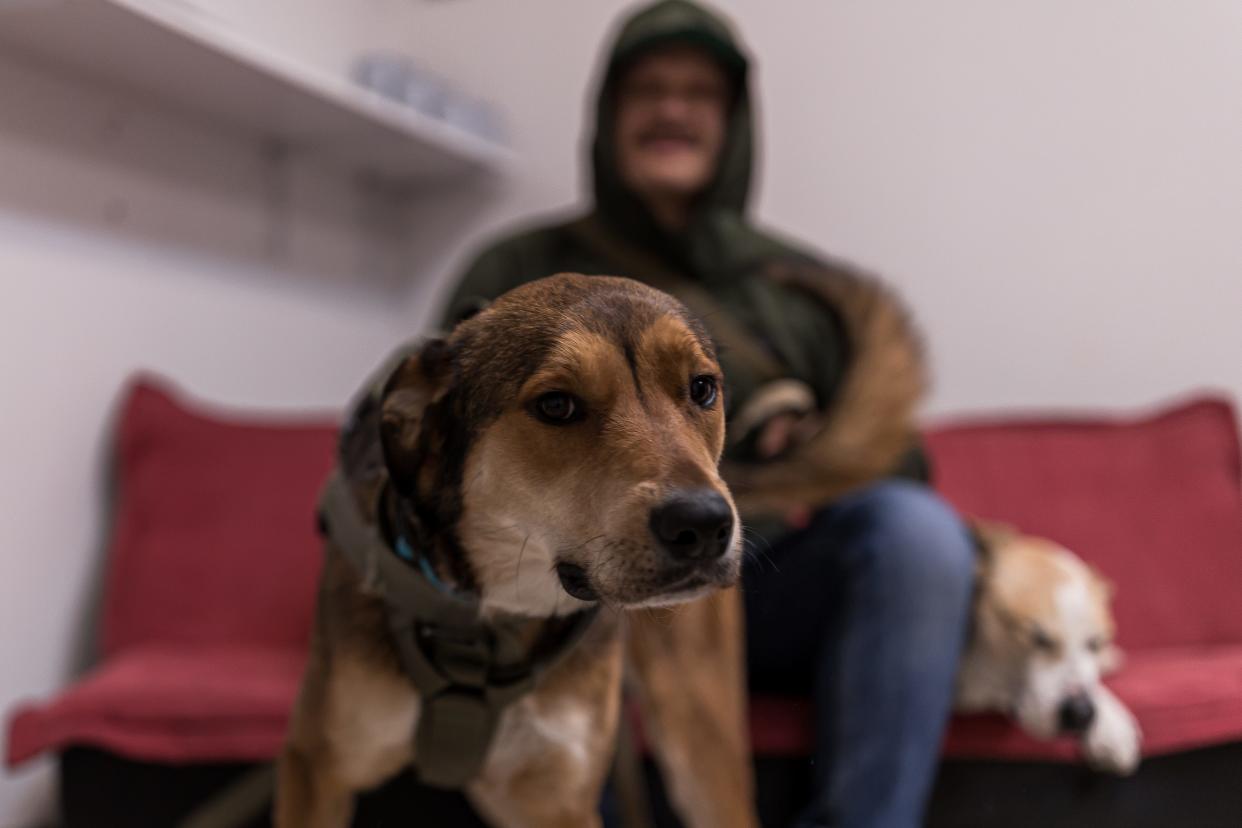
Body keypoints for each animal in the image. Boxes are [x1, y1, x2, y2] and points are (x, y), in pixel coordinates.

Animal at [275, 275, 750, 828]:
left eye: (702, 388)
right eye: (557, 405)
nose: (704, 524)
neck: (501, 606)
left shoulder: (558, 800)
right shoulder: (316, 767)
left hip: (699, 733)